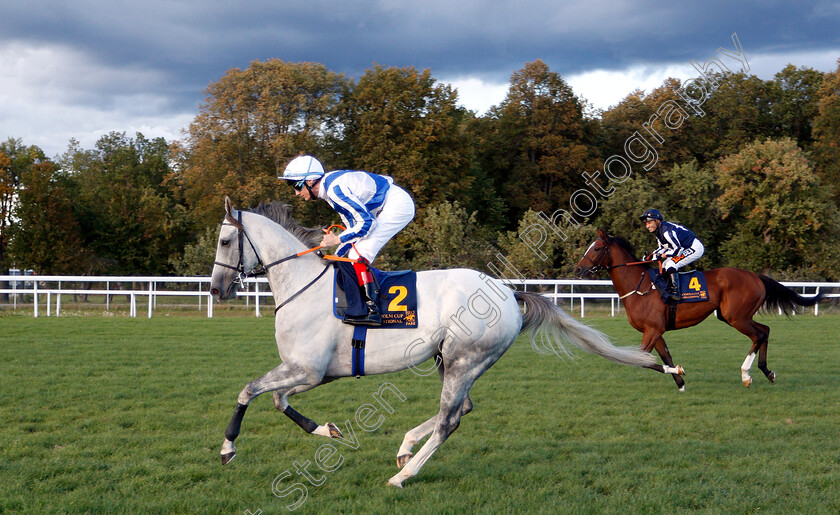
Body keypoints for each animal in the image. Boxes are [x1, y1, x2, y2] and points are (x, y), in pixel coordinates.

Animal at [210, 198, 656, 488]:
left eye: (226, 242)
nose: (216, 289)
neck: (305, 285)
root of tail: (507, 292)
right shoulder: (310, 373)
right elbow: (276, 399)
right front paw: (327, 429)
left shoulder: (308, 369)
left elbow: (249, 390)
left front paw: (228, 448)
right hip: (452, 360)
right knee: (461, 410)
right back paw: (406, 447)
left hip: (464, 360)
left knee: (447, 421)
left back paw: (403, 475)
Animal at [576, 230, 824, 392]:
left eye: (597, 248)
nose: (578, 269)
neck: (640, 286)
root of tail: (756, 276)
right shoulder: (656, 331)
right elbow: (665, 356)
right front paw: (680, 380)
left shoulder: (652, 330)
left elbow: (640, 359)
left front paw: (679, 373)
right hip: (733, 316)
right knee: (766, 330)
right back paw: (767, 372)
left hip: (736, 317)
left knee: (759, 334)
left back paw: (746, 374)